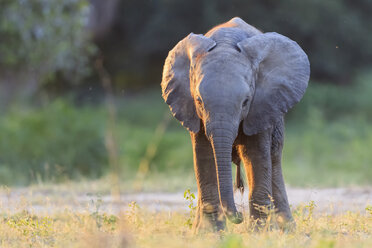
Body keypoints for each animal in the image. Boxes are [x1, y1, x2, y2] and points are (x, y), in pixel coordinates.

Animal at [161, 17, 310, 231]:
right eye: (199, 101)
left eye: (245, 102)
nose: (238, 216)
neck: (226, 41)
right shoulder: (193, 112)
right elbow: (204, 154)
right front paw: (208, 233)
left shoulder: (261, 106)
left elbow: (255, 154)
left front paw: (260, 233)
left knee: (274, 159)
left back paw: (286, 229)